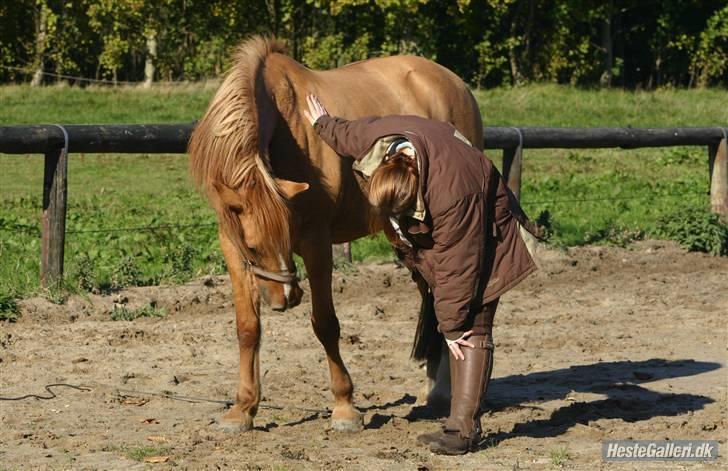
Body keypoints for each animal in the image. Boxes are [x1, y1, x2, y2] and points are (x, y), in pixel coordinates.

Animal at [188, 36, 484, 436]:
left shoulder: (316, 243)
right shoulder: (231, 247)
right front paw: (242, 409)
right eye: (252, 245)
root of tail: (453, 82)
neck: (285, 125)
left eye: (288, 234)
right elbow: (247, 327)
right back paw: (437, 387)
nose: (285, 299)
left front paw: (345, 407)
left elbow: (325, 324)